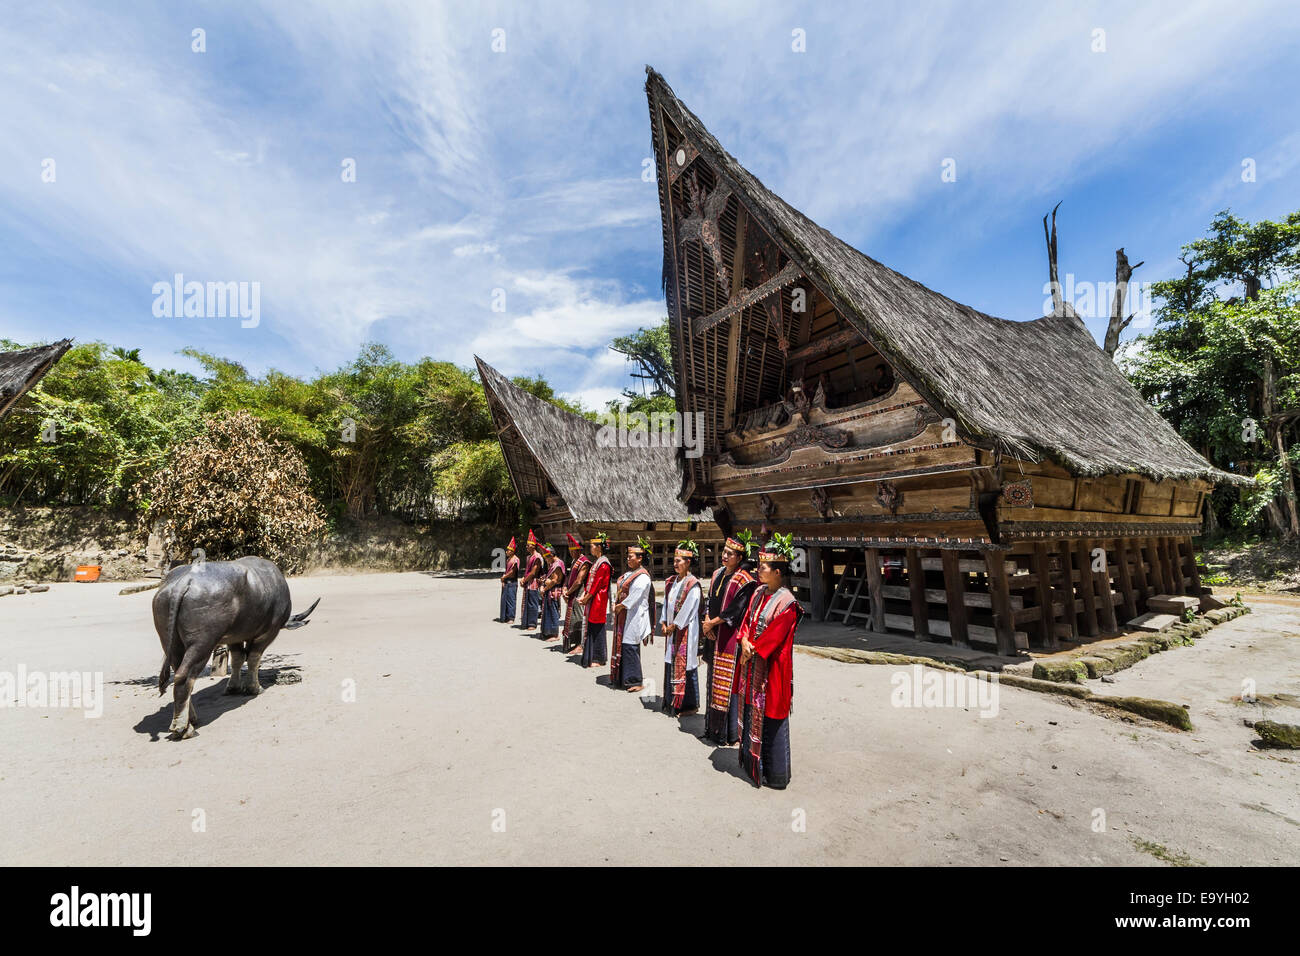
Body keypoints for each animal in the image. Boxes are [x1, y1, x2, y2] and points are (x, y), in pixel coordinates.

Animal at [154, 556, 319, 743]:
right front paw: (254, 688)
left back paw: (191, 718)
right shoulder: (268, 632)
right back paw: (184, 728)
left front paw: (233, 687)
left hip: (171, 640)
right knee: (184, 676)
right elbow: (254, 658)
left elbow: (238, 658)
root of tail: (183, 583)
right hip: (202, 642)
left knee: (178, 669)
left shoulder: (234, 637)